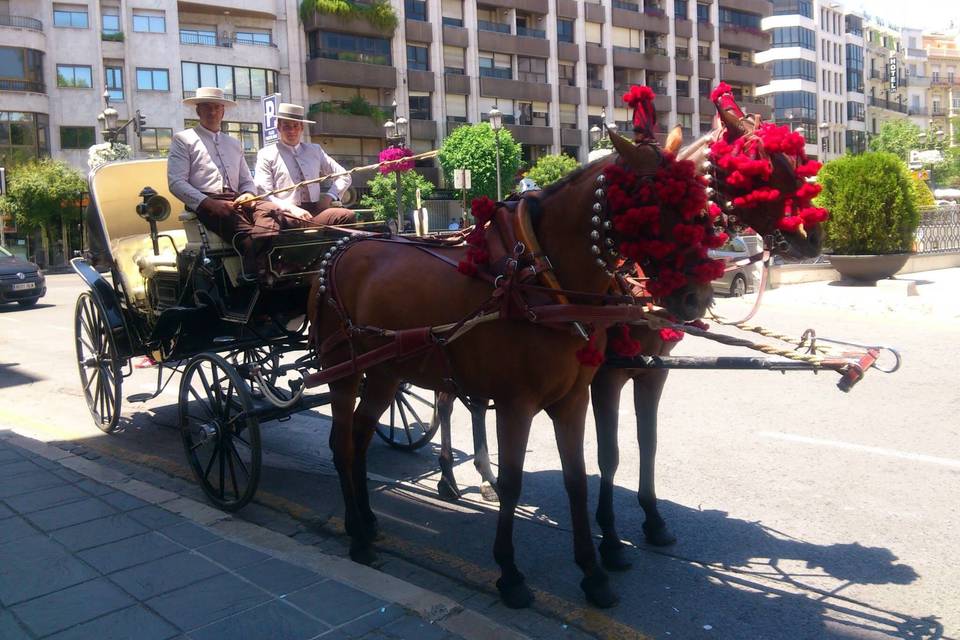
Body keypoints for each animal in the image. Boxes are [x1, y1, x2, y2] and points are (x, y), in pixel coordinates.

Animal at [308, 119, 720, 604]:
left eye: (699, 199)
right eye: (651, 205)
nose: (696, 296)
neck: (540, 280)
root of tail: (339, 250)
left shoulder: (574, 399)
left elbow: (578, 477)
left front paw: (593, 572)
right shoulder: (516, 404)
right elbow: (512, 481)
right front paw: (510, 572)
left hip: (386, 372)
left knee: (361, 434)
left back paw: (370, 521)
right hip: (344, 371)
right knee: (343, 442)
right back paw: (356, 531)